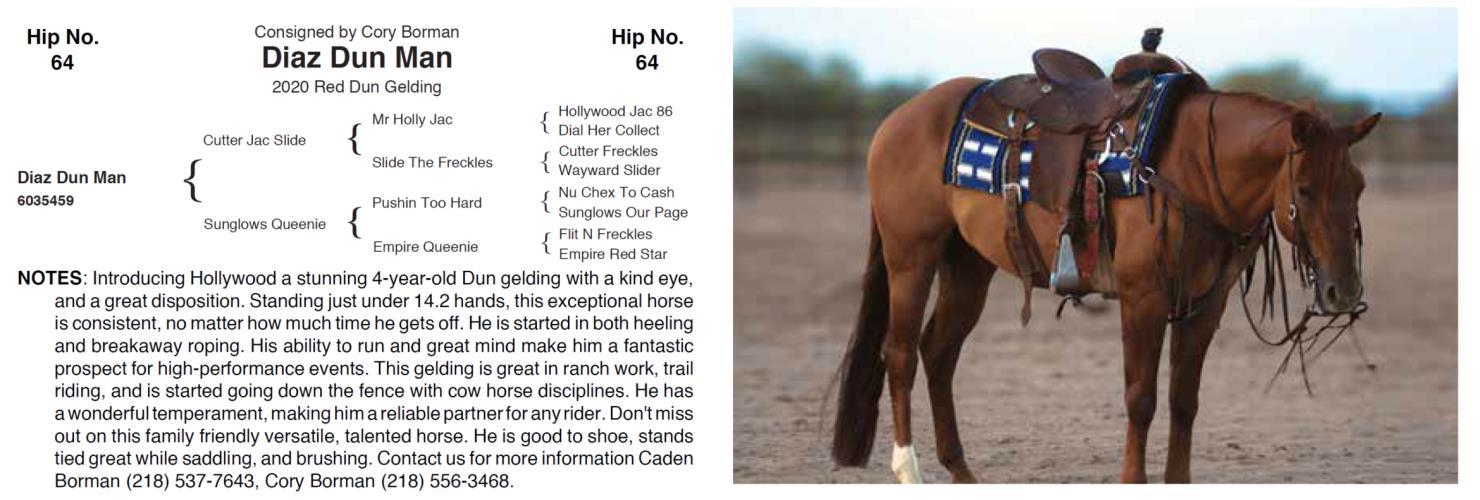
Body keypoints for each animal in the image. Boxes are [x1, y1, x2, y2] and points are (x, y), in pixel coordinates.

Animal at [829, 72, 1382, 483]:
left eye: (1358, 186)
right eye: (1305, 189)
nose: (1344, 291)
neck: (1192, 169)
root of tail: (897, 119)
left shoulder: (1205, 305)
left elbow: (1184, 402)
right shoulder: (1144, 299)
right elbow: (1141, 400)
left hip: (967, 266)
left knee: (938, 352)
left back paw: (962, 473)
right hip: (911, 258)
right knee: (900, 354)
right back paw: (909, 471)